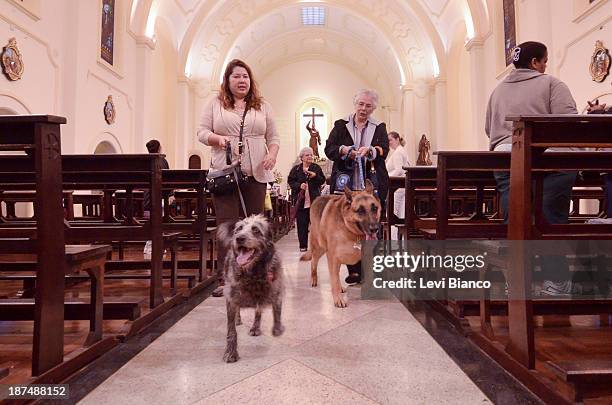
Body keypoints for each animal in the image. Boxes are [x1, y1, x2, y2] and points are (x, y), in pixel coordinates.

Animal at [216, 215, 286, 362]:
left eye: (256, 230)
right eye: (238, 229)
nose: (239, 238)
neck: (253, 273)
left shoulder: (276, 290)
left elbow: (276, 312)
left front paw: (277, 329)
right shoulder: (230, 298)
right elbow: (231, 330)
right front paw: (230, 352)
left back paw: (255, 327)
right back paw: (238, 319)